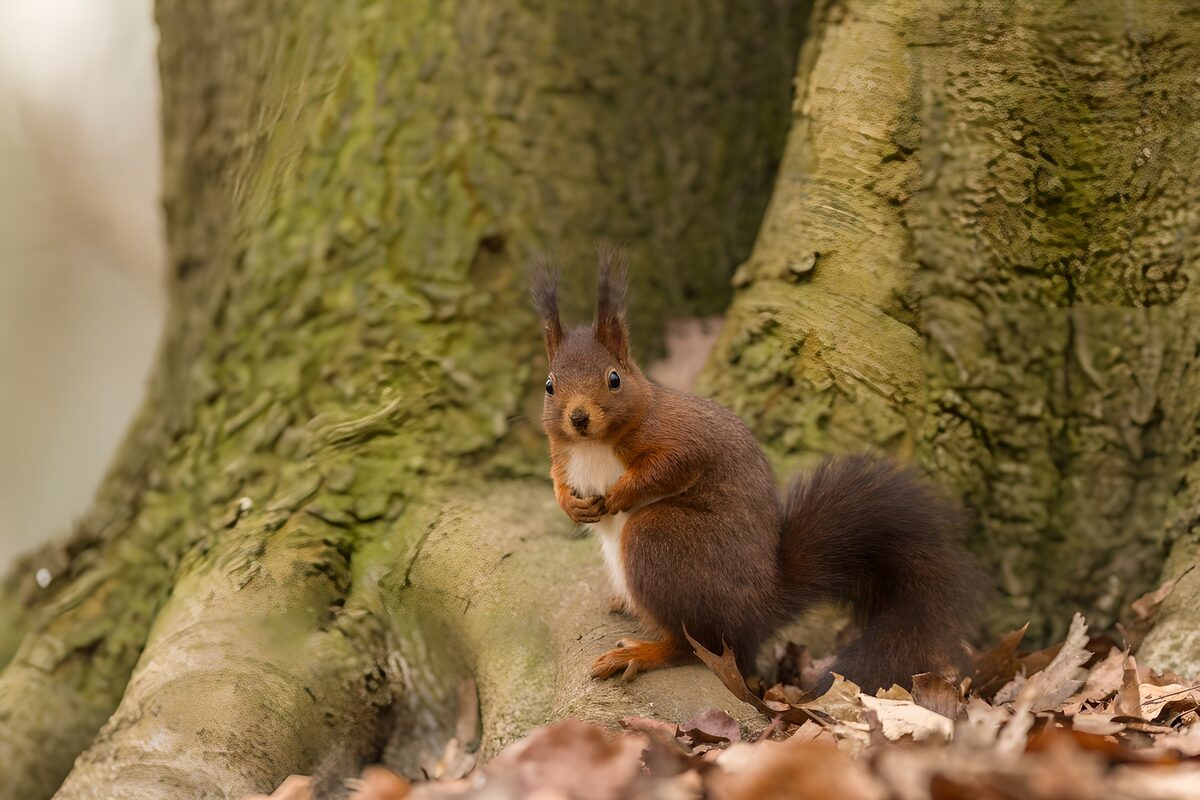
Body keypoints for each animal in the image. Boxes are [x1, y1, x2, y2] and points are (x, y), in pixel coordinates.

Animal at [530, 244, 987, 692]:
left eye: (614, 379)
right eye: (550, 385)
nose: (578, 418)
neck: (593, 444)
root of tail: (761, 606)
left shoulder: (681, 438)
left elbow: (671, 465)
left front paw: (619, 494)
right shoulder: (562, 454)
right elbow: (556, 477)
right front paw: (569, 504)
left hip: (660, 541)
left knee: (693, 645)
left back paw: (644, 652)